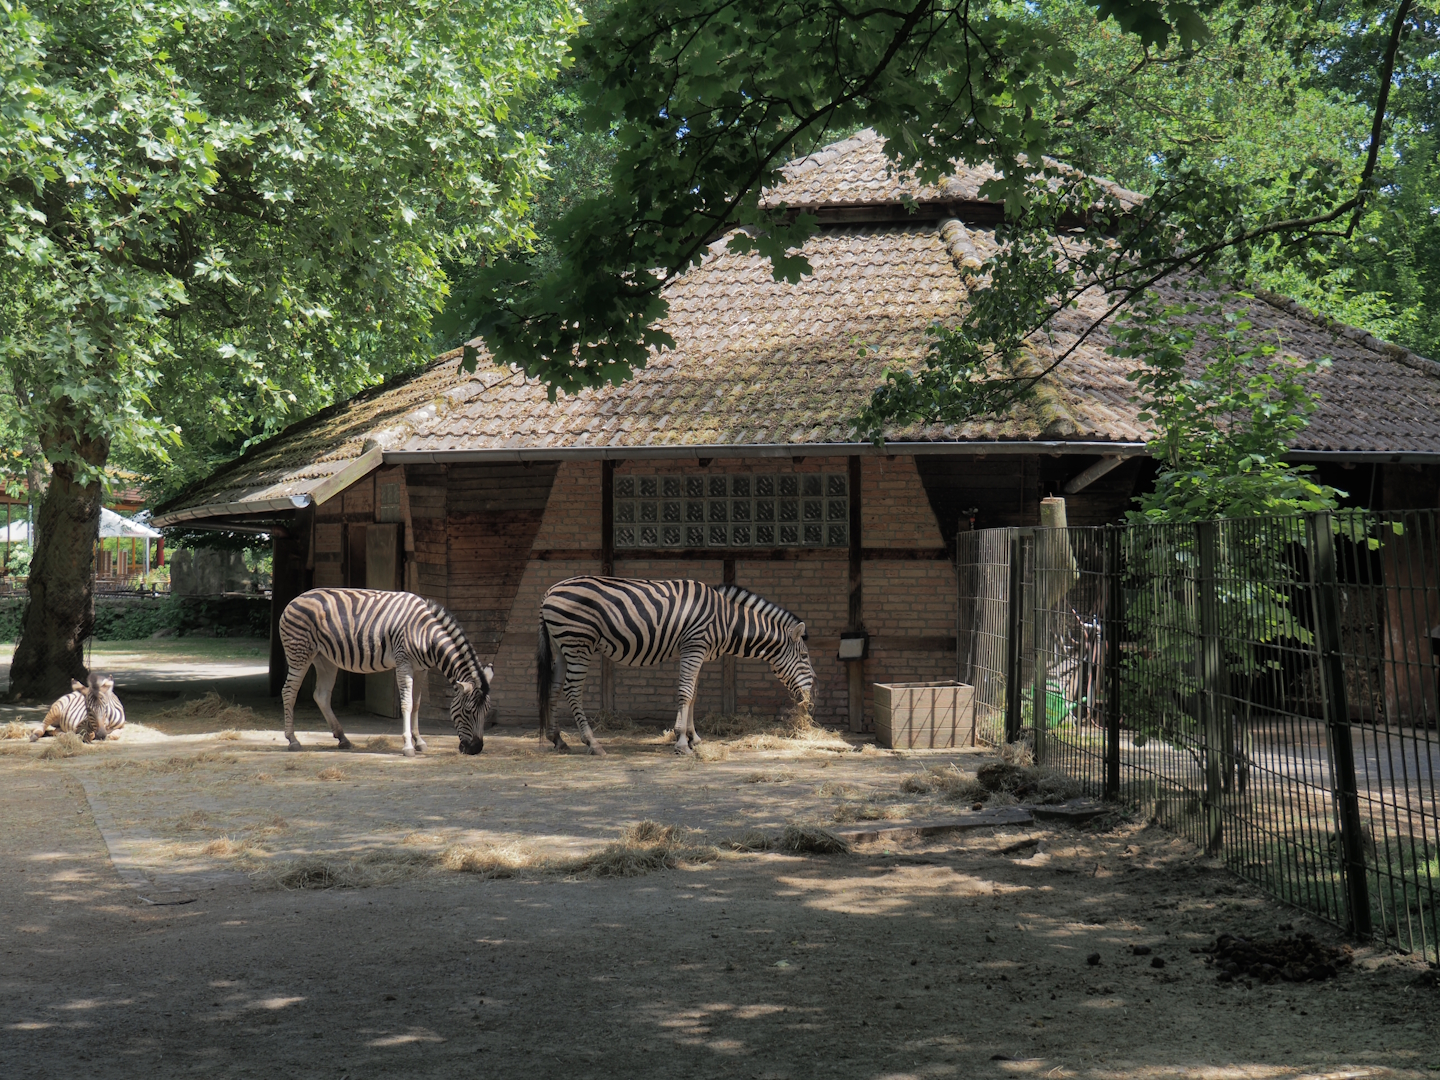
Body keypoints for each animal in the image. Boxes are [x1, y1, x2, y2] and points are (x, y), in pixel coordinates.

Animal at [278, 588, 493, 756]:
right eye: (468, 711)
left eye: (486, 711)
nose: (476, 749)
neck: (426, 634)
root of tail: (295, 599)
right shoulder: (403, 663)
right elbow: (407, 704)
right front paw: (408, 746)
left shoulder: (422, 669)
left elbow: (417, 704)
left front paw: (419, 741)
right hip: (300, 654)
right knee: (289, 692)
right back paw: (293, 740)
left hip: (324, 658)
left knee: (321, 695)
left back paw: (343, 738)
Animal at [536, 576, 815, 756]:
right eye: (804, 656)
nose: (811, 691)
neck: (726, 621)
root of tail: (549, 591)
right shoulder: (694, 647)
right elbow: (686, 693)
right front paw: (681, 742)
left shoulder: (696, 651)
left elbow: (693, 695)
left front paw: (693, 738)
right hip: (578, 643)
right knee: (572, 691)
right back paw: (592, 743)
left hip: (562, 646)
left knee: (554, 688)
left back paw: (557, 739)